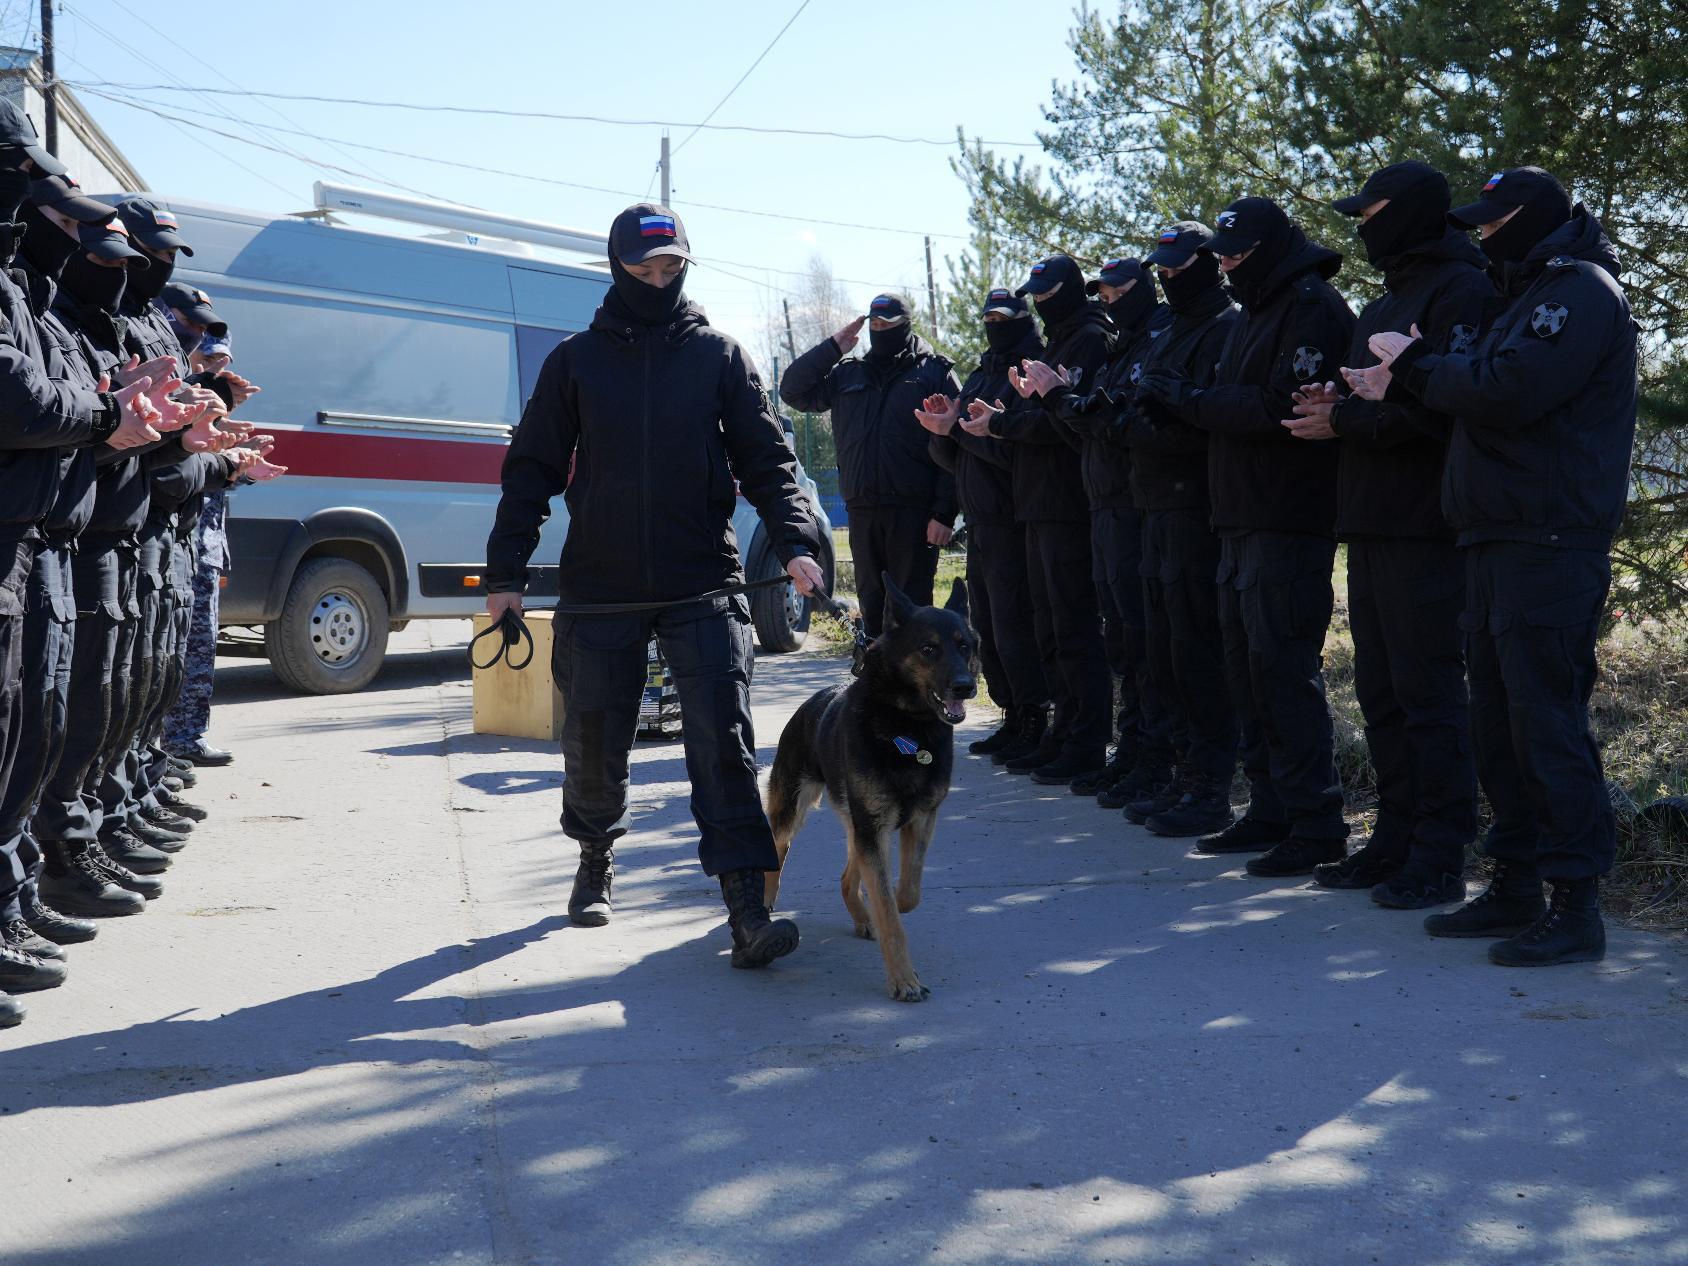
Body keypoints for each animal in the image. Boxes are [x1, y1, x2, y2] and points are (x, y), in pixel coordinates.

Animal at [766, 573, 979, 999]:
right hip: (792, 814)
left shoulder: (918, 821)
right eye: (928, 648)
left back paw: (862, 915)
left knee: (849, 877)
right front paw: (904, 979)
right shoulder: (875, 829)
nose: (966, 687)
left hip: (859, 825)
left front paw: (891, 905)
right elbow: (890, 911)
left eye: (964, 645)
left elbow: (906, 892)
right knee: (775, 858)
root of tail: (811, 703)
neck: (908, 727)